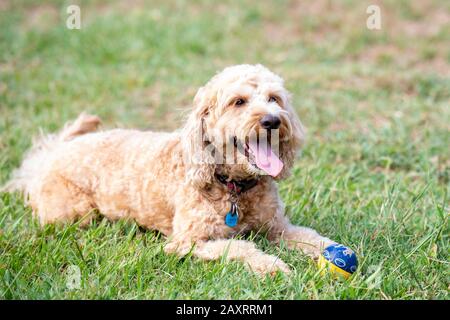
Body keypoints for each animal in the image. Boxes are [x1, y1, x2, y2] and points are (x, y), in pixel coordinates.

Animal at [4, 64, 334, 276]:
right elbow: (240, 247)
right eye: (238, 102)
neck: (233, 188)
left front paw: (337, 252)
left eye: (274, 99)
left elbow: (314, 238)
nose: (272, 120)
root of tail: (49, 156)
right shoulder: (187, 242)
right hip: (76, 213)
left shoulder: (279, 227)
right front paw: (271, 265)